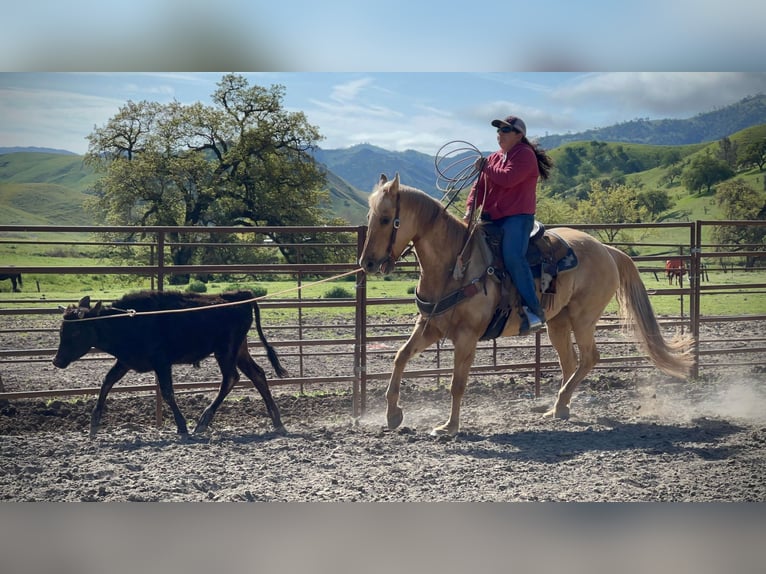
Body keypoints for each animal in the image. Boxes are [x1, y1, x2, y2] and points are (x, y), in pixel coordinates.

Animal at [360, 174, 696, 436]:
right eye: (370, 218)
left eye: (386, 219)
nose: (367, 263)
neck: (455, 264)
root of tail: (607, 249)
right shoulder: (430, 327)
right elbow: (400, 357)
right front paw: (393, 414)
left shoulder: (466, 336)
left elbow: (458, 383)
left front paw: (449, 427)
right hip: (558, 322)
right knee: (570, 362)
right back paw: (559, 407)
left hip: (583, 318)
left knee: (589, 358)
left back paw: (560, 404)